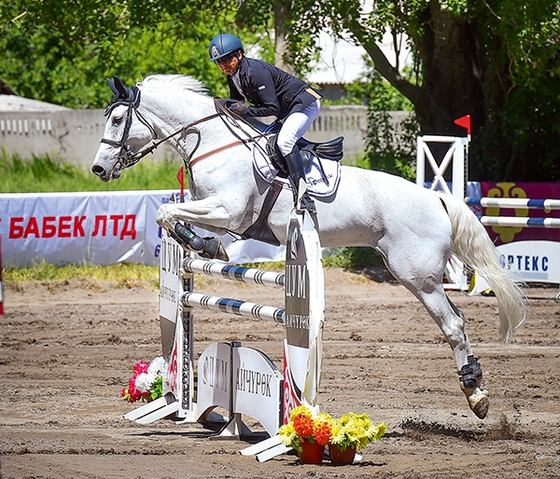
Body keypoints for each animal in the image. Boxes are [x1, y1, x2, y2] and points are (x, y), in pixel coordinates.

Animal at [92, 74, 524, 420]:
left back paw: (476, 396)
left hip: (418, 276)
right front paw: (205, 245)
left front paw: (204, 245)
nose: (98, 169)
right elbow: (170, 214)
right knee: (457, 320)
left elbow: (167, 211)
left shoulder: (228, 211)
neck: (213, 145)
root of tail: (437, 199)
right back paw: (476, 390)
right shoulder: (216, 212)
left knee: (453, 324)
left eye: (118, 119)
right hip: (417, 275)